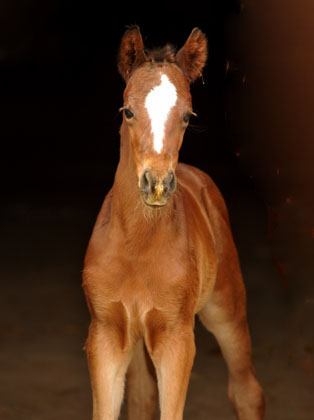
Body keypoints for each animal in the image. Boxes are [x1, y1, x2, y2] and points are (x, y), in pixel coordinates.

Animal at [82, 27, 264, 420]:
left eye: (187, 116)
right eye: (127, 110)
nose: (158, 183)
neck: (135, 246)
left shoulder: (176, 335)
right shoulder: (105, 332)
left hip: (226, 307)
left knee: (246, 390)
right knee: (142, 397)